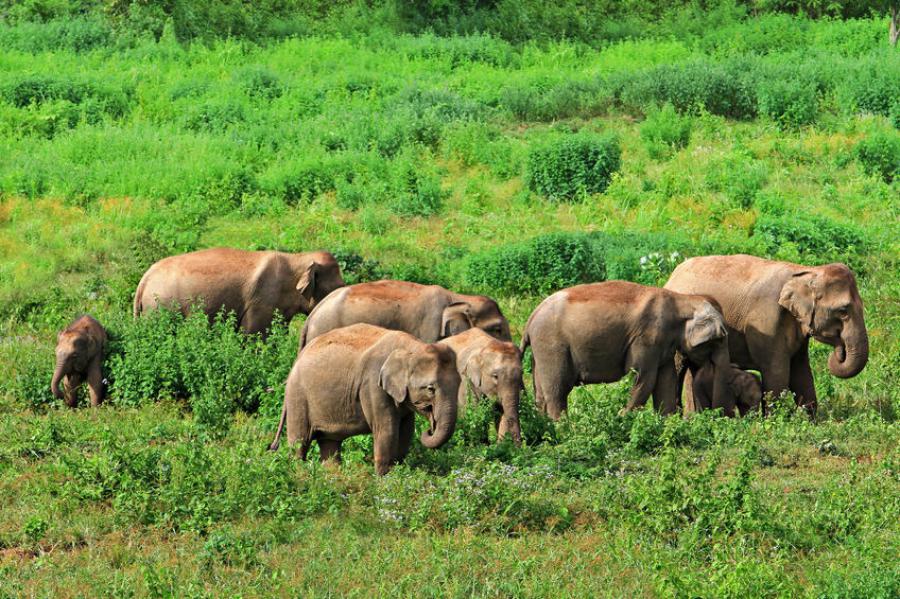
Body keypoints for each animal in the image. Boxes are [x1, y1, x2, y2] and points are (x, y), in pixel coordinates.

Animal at [134, 247, 345, 336]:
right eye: (336, 287)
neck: (298, 258)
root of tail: (144, 280)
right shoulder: (261, 302)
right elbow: (253, 335)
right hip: (160, 308)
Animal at [269, 323, 461, 475]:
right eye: (430, 389)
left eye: (460, 384)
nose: (430, 429)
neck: (412, 346)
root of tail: (296, 360)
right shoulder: (373, 385)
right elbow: (387, 430)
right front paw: (384, 480)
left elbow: (406, 431)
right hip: (298, 397)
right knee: (299, 443)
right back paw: (299, 473)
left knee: (329, 444)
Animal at [521, 281, 732, 420]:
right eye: (720, 340)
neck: (683, 299)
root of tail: (530, 320)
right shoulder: (647, 338)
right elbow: (643, 377)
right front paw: (622, 418)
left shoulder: (662, 345)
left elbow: (666, 380)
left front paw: (667, 423)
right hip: (552, 345)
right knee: (558, 389)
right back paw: (563, 428)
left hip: (540, 351)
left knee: (541, 395)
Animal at [665, 255, 868, 415]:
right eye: (843, 311)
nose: (839, 350)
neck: (805, 271)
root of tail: (672, 276)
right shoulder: (766, 321)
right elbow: (777, 371)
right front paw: (776, 423)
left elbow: (801, 371)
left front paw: (811, 422)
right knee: (678, 366)